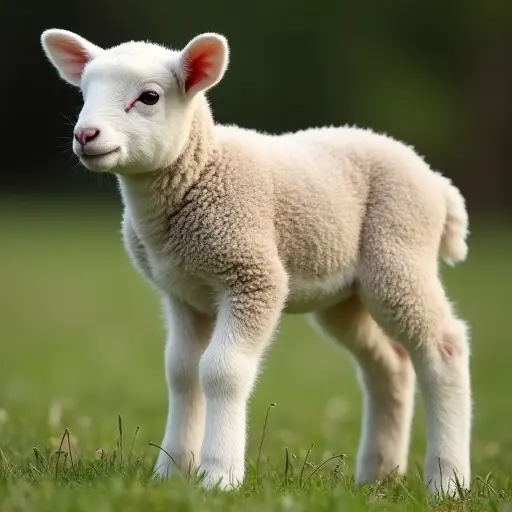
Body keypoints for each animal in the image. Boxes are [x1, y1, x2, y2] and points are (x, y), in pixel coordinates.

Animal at [40, 29, 472, 496]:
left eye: (149, 97)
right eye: (84, 93)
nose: (86, 135)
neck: (201, 170)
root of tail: (437, 182)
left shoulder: (251, 276)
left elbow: (221, 371)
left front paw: (218, 475)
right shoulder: (183, 293)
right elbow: (181, 372)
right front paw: (171, 471)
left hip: (399, 253)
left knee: (444, 347)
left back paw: (448, 480)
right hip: (346, 296)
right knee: (389, 365)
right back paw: (377, 476)